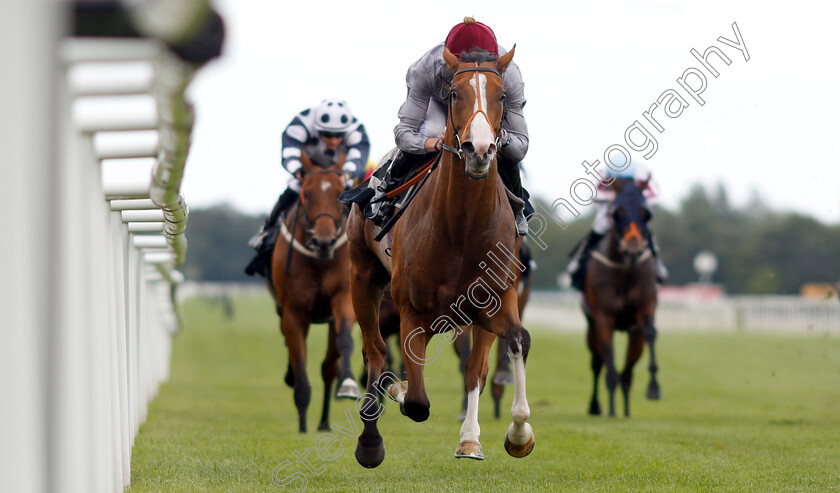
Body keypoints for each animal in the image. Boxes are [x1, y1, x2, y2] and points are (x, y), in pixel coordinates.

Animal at [270, 153, 360, 430]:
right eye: (307, 194)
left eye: (341, 193)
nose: (323, 242)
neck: (319, 261)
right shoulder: (293, 312)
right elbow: (300, 364)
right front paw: (301, 426)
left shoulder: (344, 299)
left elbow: (344, 341)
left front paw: (349, 384)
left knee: (328, 368)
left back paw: (324, 422)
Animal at [346, 46, 532, 466]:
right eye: (453, 94)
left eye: (501, 96)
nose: (479, 150)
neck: (460, 229)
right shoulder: (412, 311)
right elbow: (415, 401)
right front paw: (398, 391)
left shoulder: (494, 301)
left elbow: (511, 345)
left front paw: (515, 434)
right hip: (363, 277)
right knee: (374, 352)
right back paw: (370, 439)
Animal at [580, 177, 660, 416]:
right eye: (616, 213)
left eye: (646, 213)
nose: (633, 249)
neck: (625, 271)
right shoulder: (603, 317)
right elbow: (608, 363)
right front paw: (611, 410)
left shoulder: (645, 307)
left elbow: (650, 333)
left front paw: (654, 388)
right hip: (591, 326)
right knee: (597, 363)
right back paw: (598, 406)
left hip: (633, 333)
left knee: (628, 370)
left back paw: (625, 409)